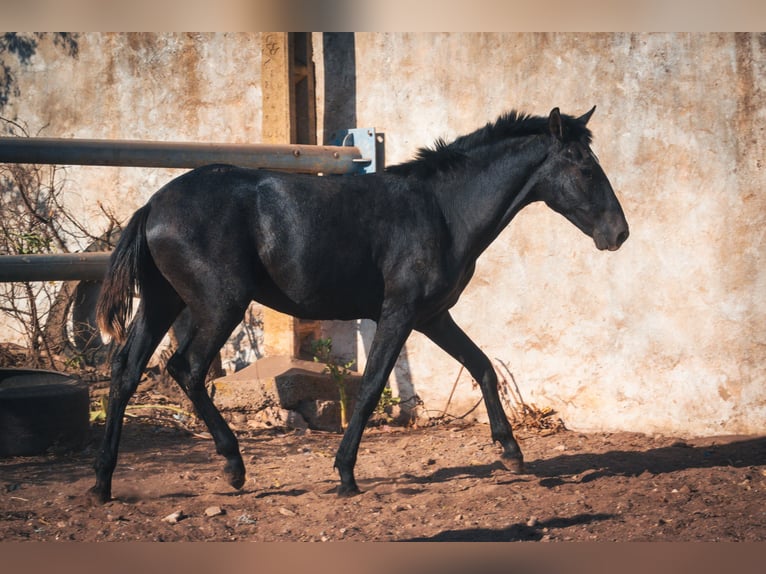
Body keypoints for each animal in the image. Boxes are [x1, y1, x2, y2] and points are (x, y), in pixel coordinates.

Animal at [90, 107, 632, 504]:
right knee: (186, 369)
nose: (619, 234)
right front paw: (346, 474)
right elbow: (371, 387)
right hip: (219, 305)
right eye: (585, 168)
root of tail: (153, 206)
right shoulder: (399, 313)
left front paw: (512, 453)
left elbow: (481, 366)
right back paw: (233, 466)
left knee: (126, 372)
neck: (441, 211)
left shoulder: (433, 316)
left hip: (162, 303)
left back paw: (102, 483)